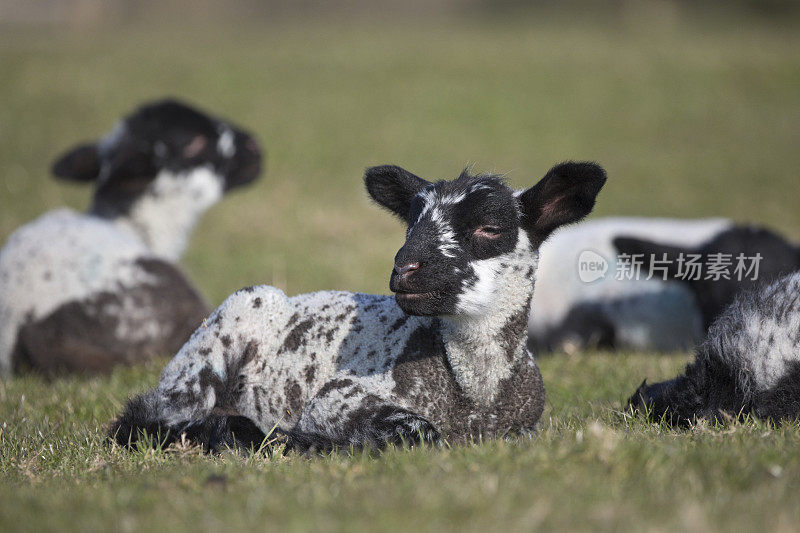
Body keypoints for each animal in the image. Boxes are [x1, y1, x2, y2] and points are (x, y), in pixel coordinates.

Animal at [106, 160, 608, 450]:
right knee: (149, 418)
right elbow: (418, 431)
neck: (475, 395)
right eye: (411, 223)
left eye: (489, 228)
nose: (405, 268)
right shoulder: (337, 397)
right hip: (221, 334)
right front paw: (305, 440)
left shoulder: (527, 426)